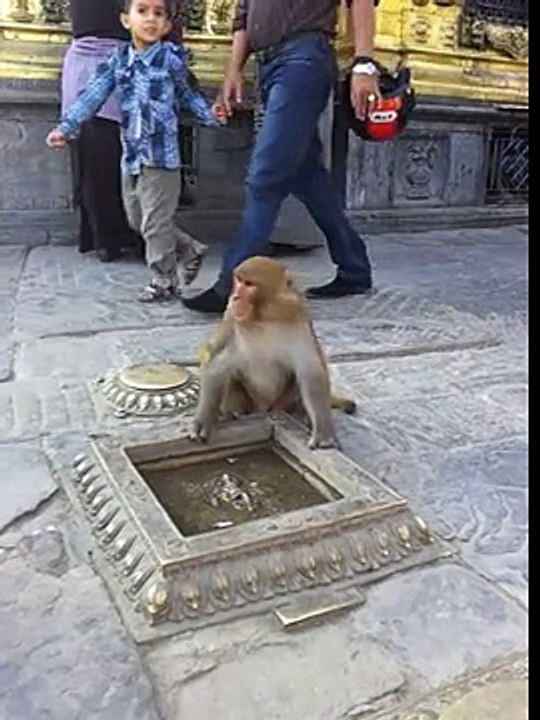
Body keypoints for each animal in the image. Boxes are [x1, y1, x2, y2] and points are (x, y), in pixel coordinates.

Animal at [192, 256, 356, 450]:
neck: (265, 317)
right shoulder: (233, 323)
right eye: (238, 280)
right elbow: (217, 364)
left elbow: (310, 371)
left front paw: (323, 434)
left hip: (282, 402)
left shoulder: (299, 321)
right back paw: (232, 414)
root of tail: (264, 409)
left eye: (248, 284)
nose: (235, 296)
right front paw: (203, 421)